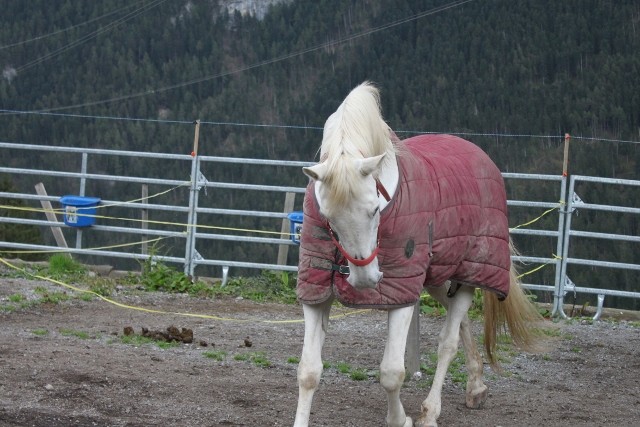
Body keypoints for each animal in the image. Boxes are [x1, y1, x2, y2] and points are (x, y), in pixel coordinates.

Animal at [293, 82, 543, 427]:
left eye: (374, 210)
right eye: (329, 218)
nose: (366, 279)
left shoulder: (402, 291)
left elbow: (391, 372)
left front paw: (401, 419)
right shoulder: (316, 292)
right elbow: (308, 371)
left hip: (468, 274)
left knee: (448, 341)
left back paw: (430, 411)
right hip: (436, 277)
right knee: (459, 321)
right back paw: (476, 386)